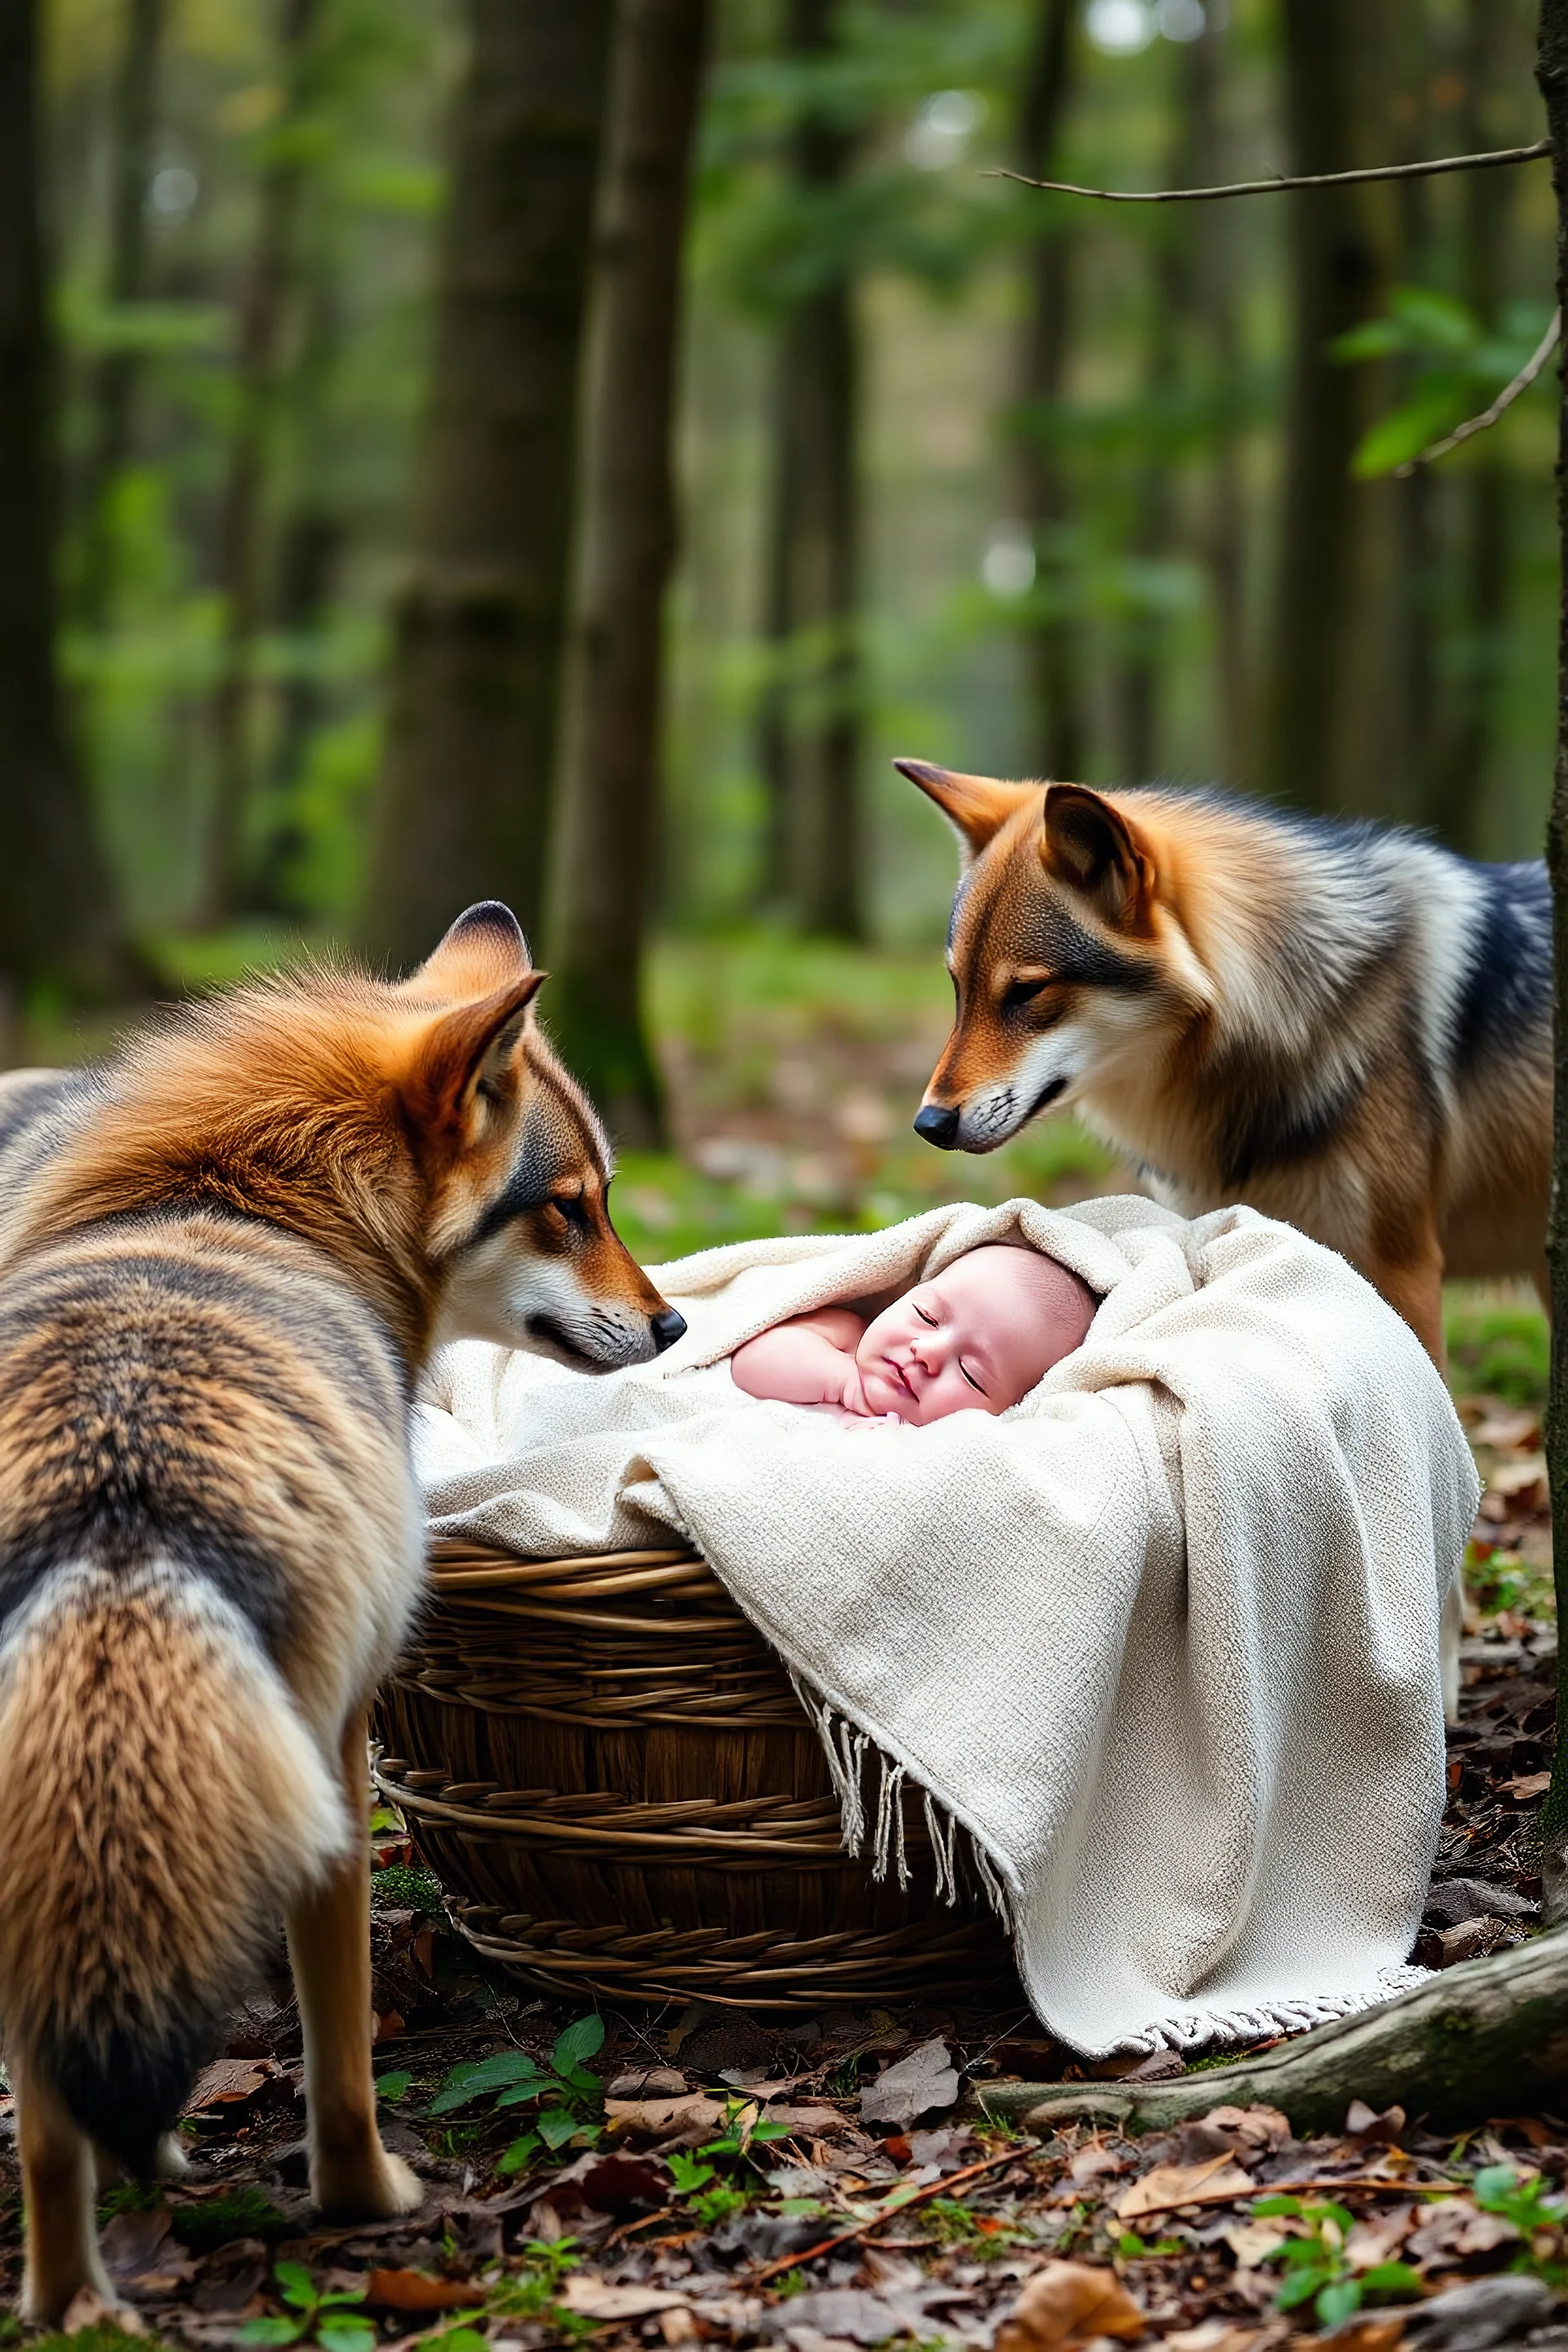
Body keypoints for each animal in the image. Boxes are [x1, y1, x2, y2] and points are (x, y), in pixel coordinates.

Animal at [0, 893, 686, 2314]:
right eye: (574, 1209)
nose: (676, 1326)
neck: (235, 1204)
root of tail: (118, 1499)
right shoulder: (354, 1742)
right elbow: (338, 2053)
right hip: (318, 1804)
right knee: (334, 2073)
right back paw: (367, 2200)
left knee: (48, 2131)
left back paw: (73, 2309)